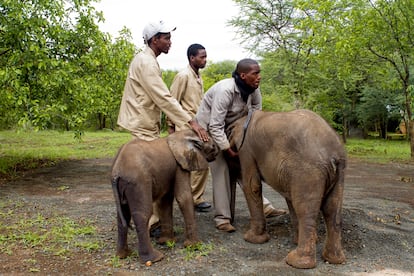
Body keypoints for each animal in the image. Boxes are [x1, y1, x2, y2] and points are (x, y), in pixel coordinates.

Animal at [110, 129, 220, 264]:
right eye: (212, 146)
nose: (217, 151)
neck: (181, 135)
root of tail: (117, 171)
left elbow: (165, 201)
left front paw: (167, 242)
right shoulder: (180, 166)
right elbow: (183, 197)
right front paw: (194, 246)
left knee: (123, 215)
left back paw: (122, 255)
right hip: (139, 182)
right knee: (142, 214)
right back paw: (155, 258)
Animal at [226, 109, 346, 268]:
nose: (232, 227)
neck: (243, 119)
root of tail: (333, 154)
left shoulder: (247, 150)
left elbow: (252, 186)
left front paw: (251, 239)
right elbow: (289, 198)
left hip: (308, 171)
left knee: (305, 210)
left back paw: (296, 262)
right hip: (338, 173)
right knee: (331, 210)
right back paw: (333, 260)